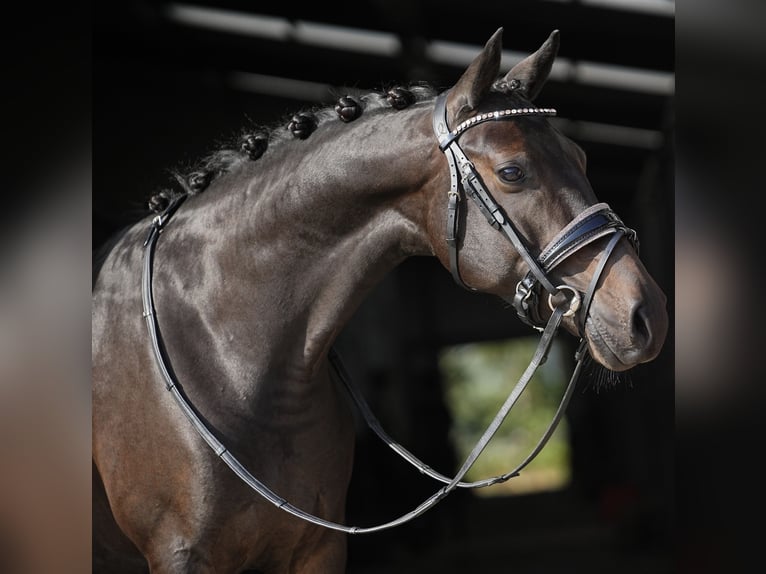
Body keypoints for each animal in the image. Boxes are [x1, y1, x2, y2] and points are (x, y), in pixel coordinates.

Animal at [91, 29, 664, 572]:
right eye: (511, 172)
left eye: (582, 157)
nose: (647, 314)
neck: (223, 347)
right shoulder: (182, 553)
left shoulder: (318, 549)